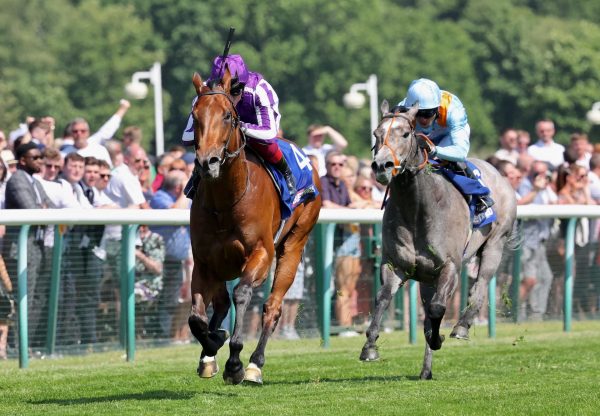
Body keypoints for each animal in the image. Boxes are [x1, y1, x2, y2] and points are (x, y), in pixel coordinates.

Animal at [189, 67, 322, 384]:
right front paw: (213, 344)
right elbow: (196, 317)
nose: (207, 162)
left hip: (294, 245)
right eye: (195, 116)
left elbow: (242, 294)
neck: (225, 201)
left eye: (227, 115)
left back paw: (254, 365)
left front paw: (234, 363)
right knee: (221, 303)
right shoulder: (204, 261)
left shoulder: (261, 253)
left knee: (272, 307)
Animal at [364, 101, 516, 380]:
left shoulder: (449, 267)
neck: (417, 208)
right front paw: (369, 346)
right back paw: (426, 370)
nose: (382, 165)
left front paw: (439, 338)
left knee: (479, 288)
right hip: (427, 278)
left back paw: (462, 327)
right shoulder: (396, 266)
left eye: (405, 134)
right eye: (376, 134)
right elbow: (383, 299)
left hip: (495, 245)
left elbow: (436, 310)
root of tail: (497, 171)